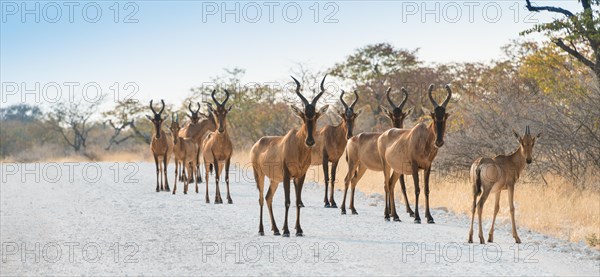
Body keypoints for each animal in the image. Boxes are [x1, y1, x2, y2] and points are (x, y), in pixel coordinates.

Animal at [252, 74, 330, 235]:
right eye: (303, 116)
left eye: (316, 116)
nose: (310, 141)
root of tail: (257, 143)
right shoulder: (287, 175)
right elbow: (287, 201)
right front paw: (287, 230)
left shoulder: (300, 175)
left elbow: (297, 201)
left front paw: (298, 229)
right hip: (259, 174)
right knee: (261, 198)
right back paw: (261, 230)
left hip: (275, 179)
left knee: (268, 197)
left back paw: (275, 229)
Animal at [340, 87, 410, 215]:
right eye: (391, 116)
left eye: (402, 116)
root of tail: (351, 139)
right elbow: (391, 184)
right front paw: (394, 212)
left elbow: (394, 184)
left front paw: (394, 212)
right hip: (352, 163)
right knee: (347, 180)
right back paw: (343, 209)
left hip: (362, 166)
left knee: (354, 180)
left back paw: (353, 209)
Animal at [380, 83, 450, 222]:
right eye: (433, 116)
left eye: (444, 116)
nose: (439, 142)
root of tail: (384, 134)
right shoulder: (414, 166)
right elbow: (417, 189)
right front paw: (417, 217)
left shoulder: (427, 167)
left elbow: (426, 190)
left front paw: (429, 217)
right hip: (386, 165)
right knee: (386, 185)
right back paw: (386, 215)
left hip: (397, 169)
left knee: (391, 184)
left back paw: (395, 216)